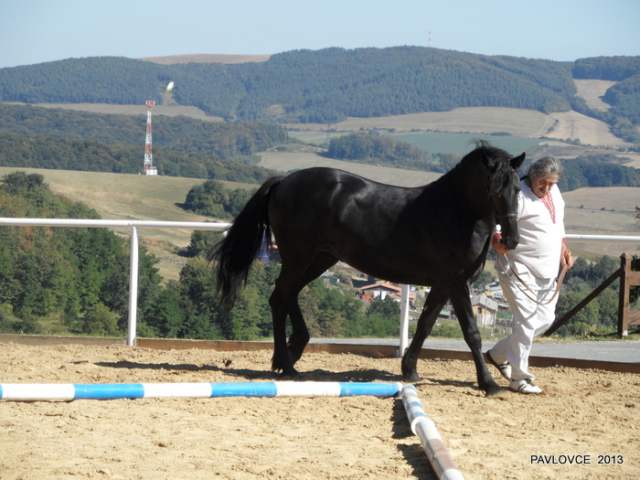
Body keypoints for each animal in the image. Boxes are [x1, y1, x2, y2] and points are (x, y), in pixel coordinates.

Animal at [215, 143, 525, 395]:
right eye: (493, 188)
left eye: (517, 189)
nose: (511, 239)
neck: (455, 212)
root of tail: (284, 182)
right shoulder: (456, 281)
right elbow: (471, 332)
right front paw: (489, 384)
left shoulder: (442, 283)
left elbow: (425, 324)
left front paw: (410, 370)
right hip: (299, 257)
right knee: (280, 298)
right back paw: (287, 365)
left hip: (319, 259)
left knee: (288, 294)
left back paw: (291, 353)